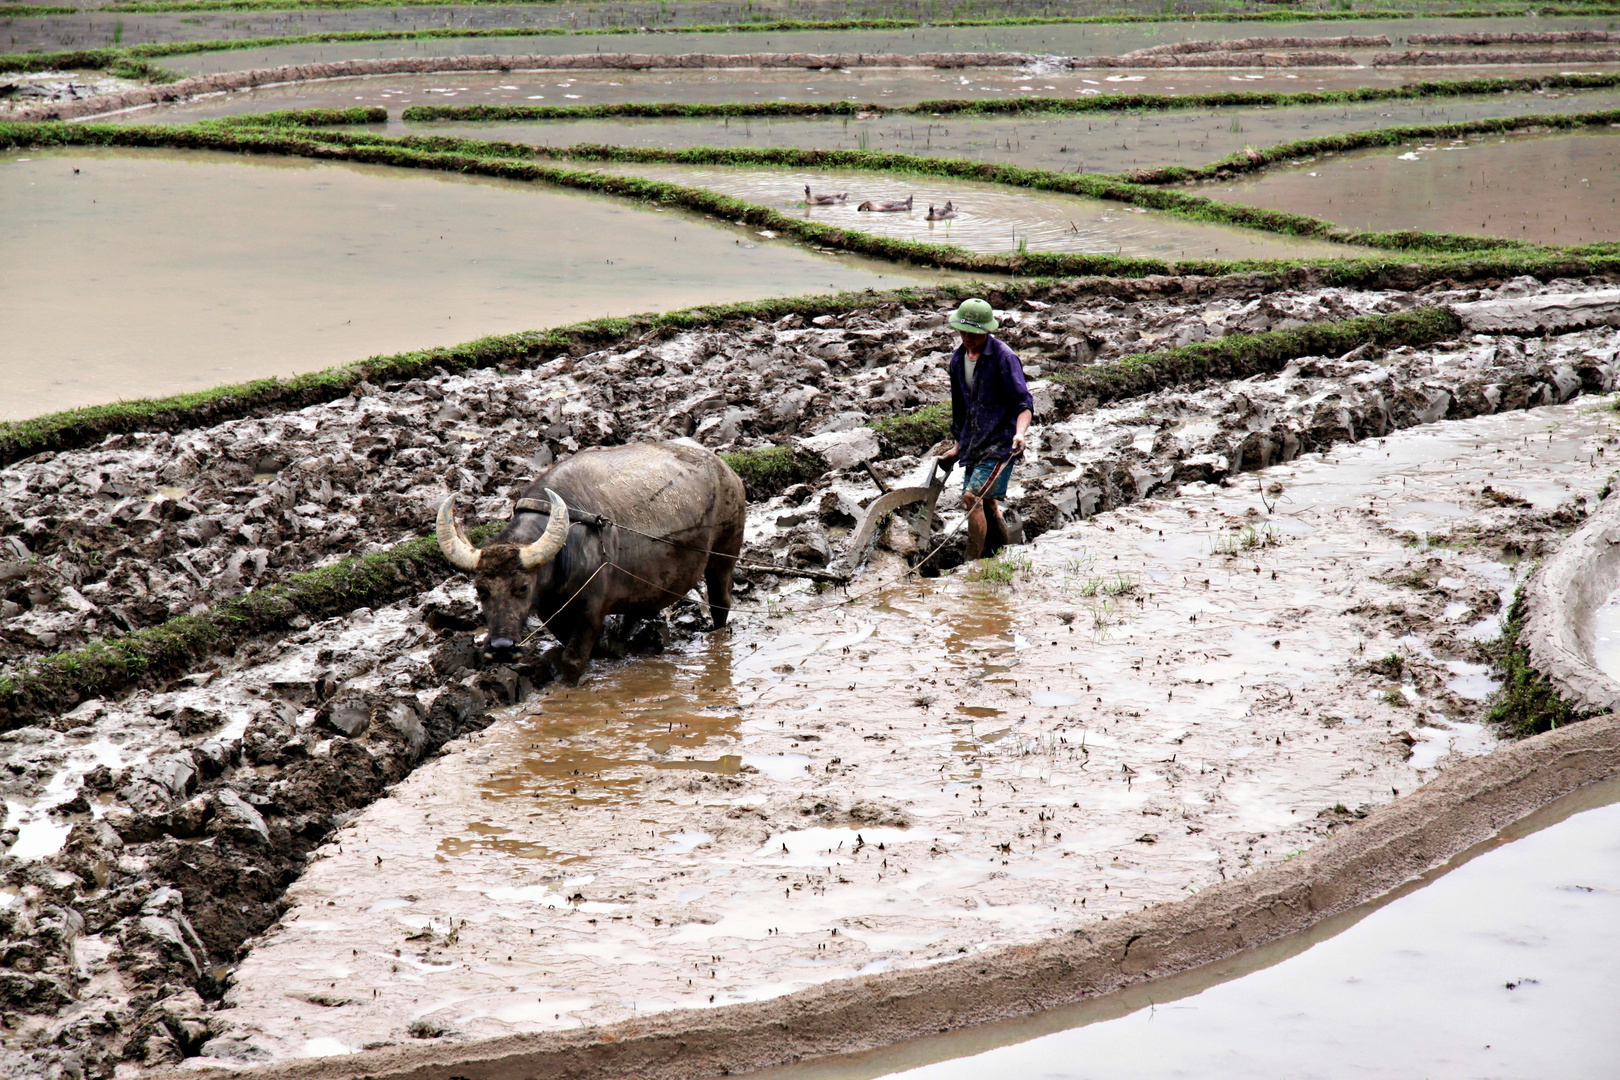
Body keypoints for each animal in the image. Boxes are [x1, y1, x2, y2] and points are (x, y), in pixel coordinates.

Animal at [440, 440, 748, 683]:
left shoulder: (591, 609)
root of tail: (727, 471)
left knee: (720, 601)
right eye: (481, 590)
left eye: (522, 587)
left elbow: (573, 660)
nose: (502, 647)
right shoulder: (551, 609)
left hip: (725, 553)